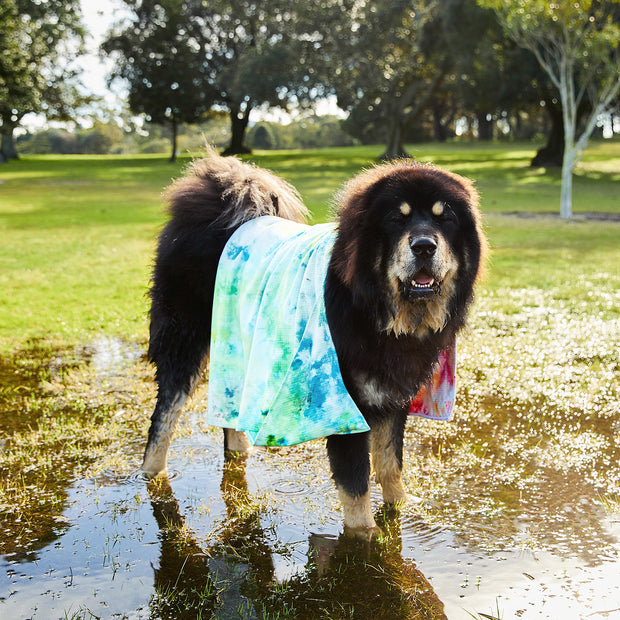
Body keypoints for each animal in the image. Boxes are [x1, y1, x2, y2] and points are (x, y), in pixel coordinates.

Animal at [140, 150, 484, 532]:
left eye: (445, 218)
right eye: (398, 218)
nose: (424, 246)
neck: (377, 312)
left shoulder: (392, 399)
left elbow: (391, 470)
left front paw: (398, 516)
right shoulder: (345, 411)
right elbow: (357, 495)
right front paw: (366, 538)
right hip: (183, 346)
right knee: (162, 421)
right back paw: (154, 478)